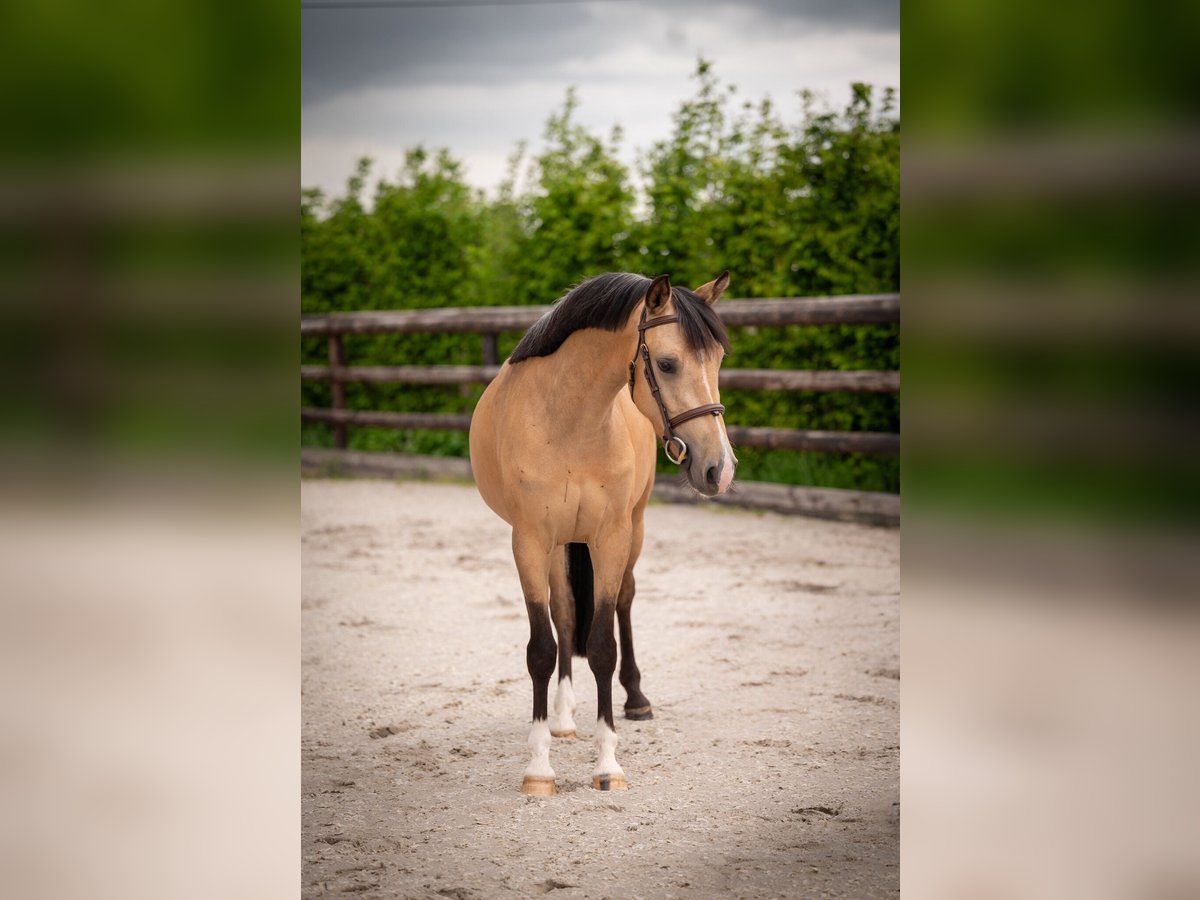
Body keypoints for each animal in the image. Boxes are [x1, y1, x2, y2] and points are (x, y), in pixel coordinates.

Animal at [470, 273, 734, 796]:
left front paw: (608, 765)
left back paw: (636, 698)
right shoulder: (529, 540)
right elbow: (543, 648)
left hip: (634, 529)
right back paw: (562, 719)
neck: (569, 421)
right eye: (668, 363)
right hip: (557, 546)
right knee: (566, 614)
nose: (720, 469)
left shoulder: (611, 537)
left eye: (717, 360)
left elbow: (603, 647)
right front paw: (539, 769)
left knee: (624, 603)